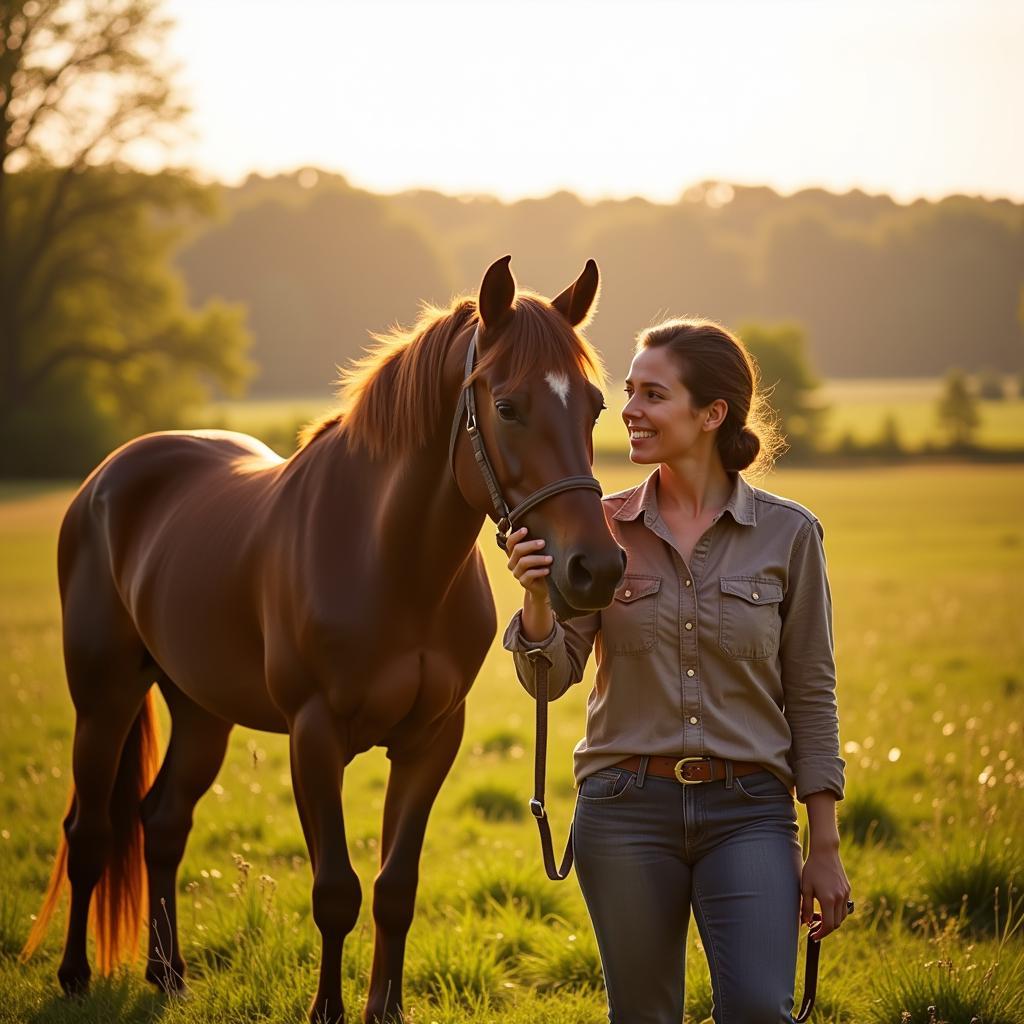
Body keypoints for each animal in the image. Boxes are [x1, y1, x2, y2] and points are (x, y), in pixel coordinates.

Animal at [22, 256, 622, 1024]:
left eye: (595, 407)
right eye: (509, 407)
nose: (596, 568)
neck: (387, 559)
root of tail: (107, 477)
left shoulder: (432, 739)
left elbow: (395, 888)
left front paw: (385, 1009)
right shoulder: (315, 737)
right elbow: (336, 890)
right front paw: (328, 1011)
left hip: (201, 710)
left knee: (162, 823)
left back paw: (169, 974)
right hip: (105, 700)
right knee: (91, 831)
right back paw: (73, 975)